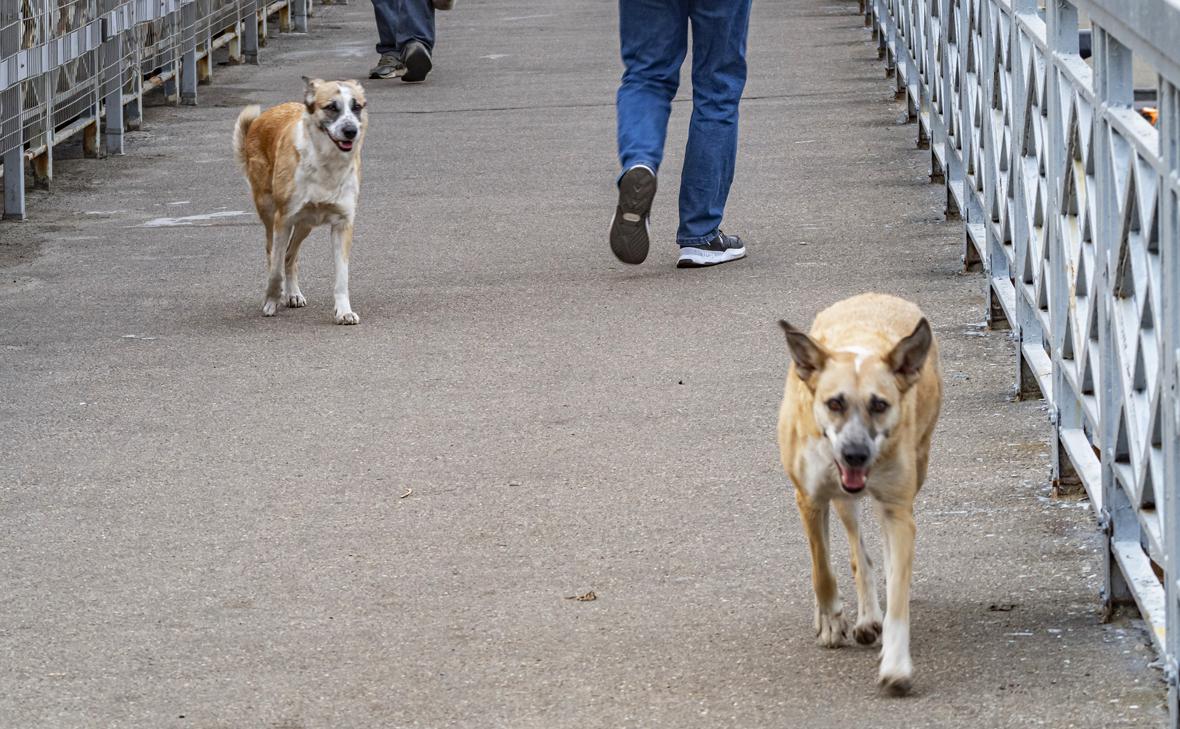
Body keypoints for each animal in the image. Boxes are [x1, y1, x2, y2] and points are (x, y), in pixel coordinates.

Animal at [234, 76, 368, 323]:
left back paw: (293, 294)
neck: (326, 164)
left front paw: (344, 311)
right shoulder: (283, 220)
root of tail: (266, 114)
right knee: (274, 255)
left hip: (306, 224)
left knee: (290, 256)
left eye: (357, 107)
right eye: (331, 107)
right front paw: (271, 301)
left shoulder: (343, 224)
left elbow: (342, 277)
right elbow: (275, 270)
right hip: (270, 214)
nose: (351, 131)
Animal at [778, 292, 943, 693]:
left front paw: (896, 665)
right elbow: (821, 569)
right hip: (840, 501)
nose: (855, 454)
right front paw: (831, 620)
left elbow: (898, 589)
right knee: (856, 551)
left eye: (879, 404)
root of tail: (874, 295)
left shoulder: (898, 508)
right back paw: (859, 616)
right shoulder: (810, 499)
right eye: (834, 403)